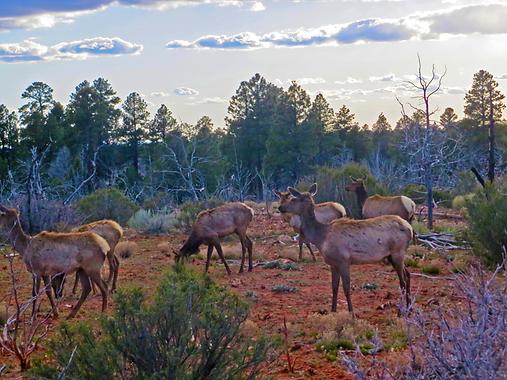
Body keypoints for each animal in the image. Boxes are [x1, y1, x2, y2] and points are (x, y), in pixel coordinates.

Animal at [278, 185, 412, 314]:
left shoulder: (343, 260)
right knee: (408, 275)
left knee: (402, 282)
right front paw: (333, 310)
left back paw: (400, 312)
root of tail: (410, 228)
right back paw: (409, 308)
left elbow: (346, 287)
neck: (321, 238)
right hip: (392, 255)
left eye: (293, 199)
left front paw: (351, 312)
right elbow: (334, 286)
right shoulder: (333, 263)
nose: (280, 207)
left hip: (397, 252)